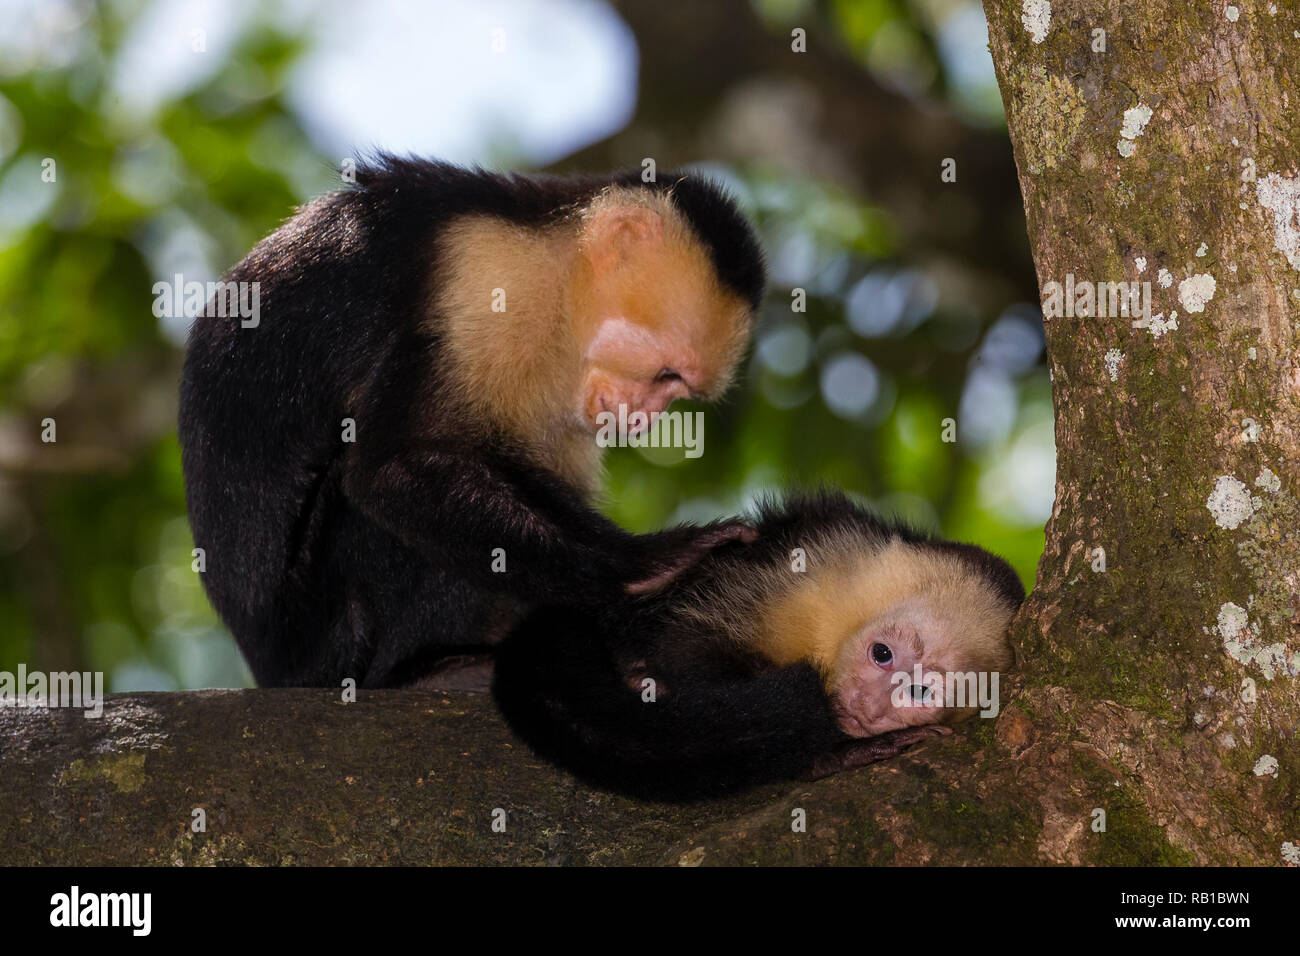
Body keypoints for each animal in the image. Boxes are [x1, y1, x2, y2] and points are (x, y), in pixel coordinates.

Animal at [174, 155, 759, 686]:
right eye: (667, 374)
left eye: (679, 390)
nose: (644, 418)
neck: (560, 289)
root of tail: (270, 668)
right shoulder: (486, 283)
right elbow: (388, 469)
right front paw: (638, 567)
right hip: (321, 639)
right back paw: (418, 669)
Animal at [488, 494, 1024, 801]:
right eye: (882, 655)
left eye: (918, 693)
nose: (868, 708)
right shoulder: (820, 560)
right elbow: (693, 639)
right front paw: (837, 751)